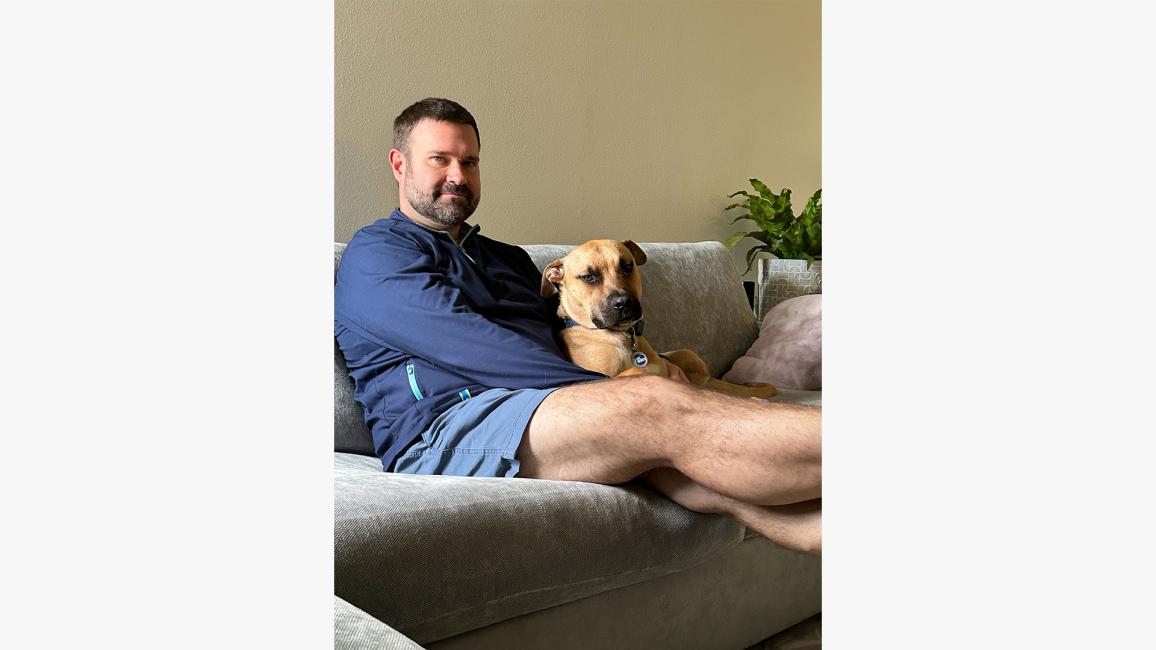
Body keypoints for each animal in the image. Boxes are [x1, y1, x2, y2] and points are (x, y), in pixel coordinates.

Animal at [538, 239, 776, 395]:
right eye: (587, 277)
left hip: (686, 352)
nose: (624, 303)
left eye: (627, 266)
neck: (621, 337)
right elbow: (634, 371)